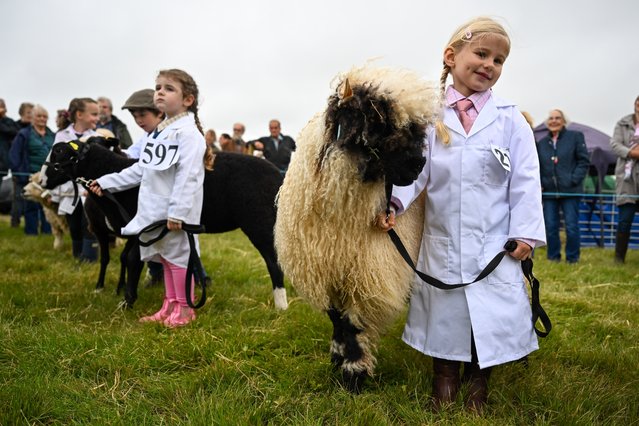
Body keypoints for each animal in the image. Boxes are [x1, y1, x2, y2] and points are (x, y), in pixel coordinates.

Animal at [40, 140, 288, 310]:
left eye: (60, 153)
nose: (41, 180)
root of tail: (279, 175)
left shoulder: (140, 226)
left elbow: (133, 260)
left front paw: (127, 302)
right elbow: (131, 259)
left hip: (259, 221)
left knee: (273, 260)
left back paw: (281, 304)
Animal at [276, 65, 440, 394]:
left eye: (417, 129)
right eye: (377, 121)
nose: (418, 165)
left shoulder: (363, 272)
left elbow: (352, 323)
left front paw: (354, 373)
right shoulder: (327, 270)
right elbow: (337, 320)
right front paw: (338, 358)